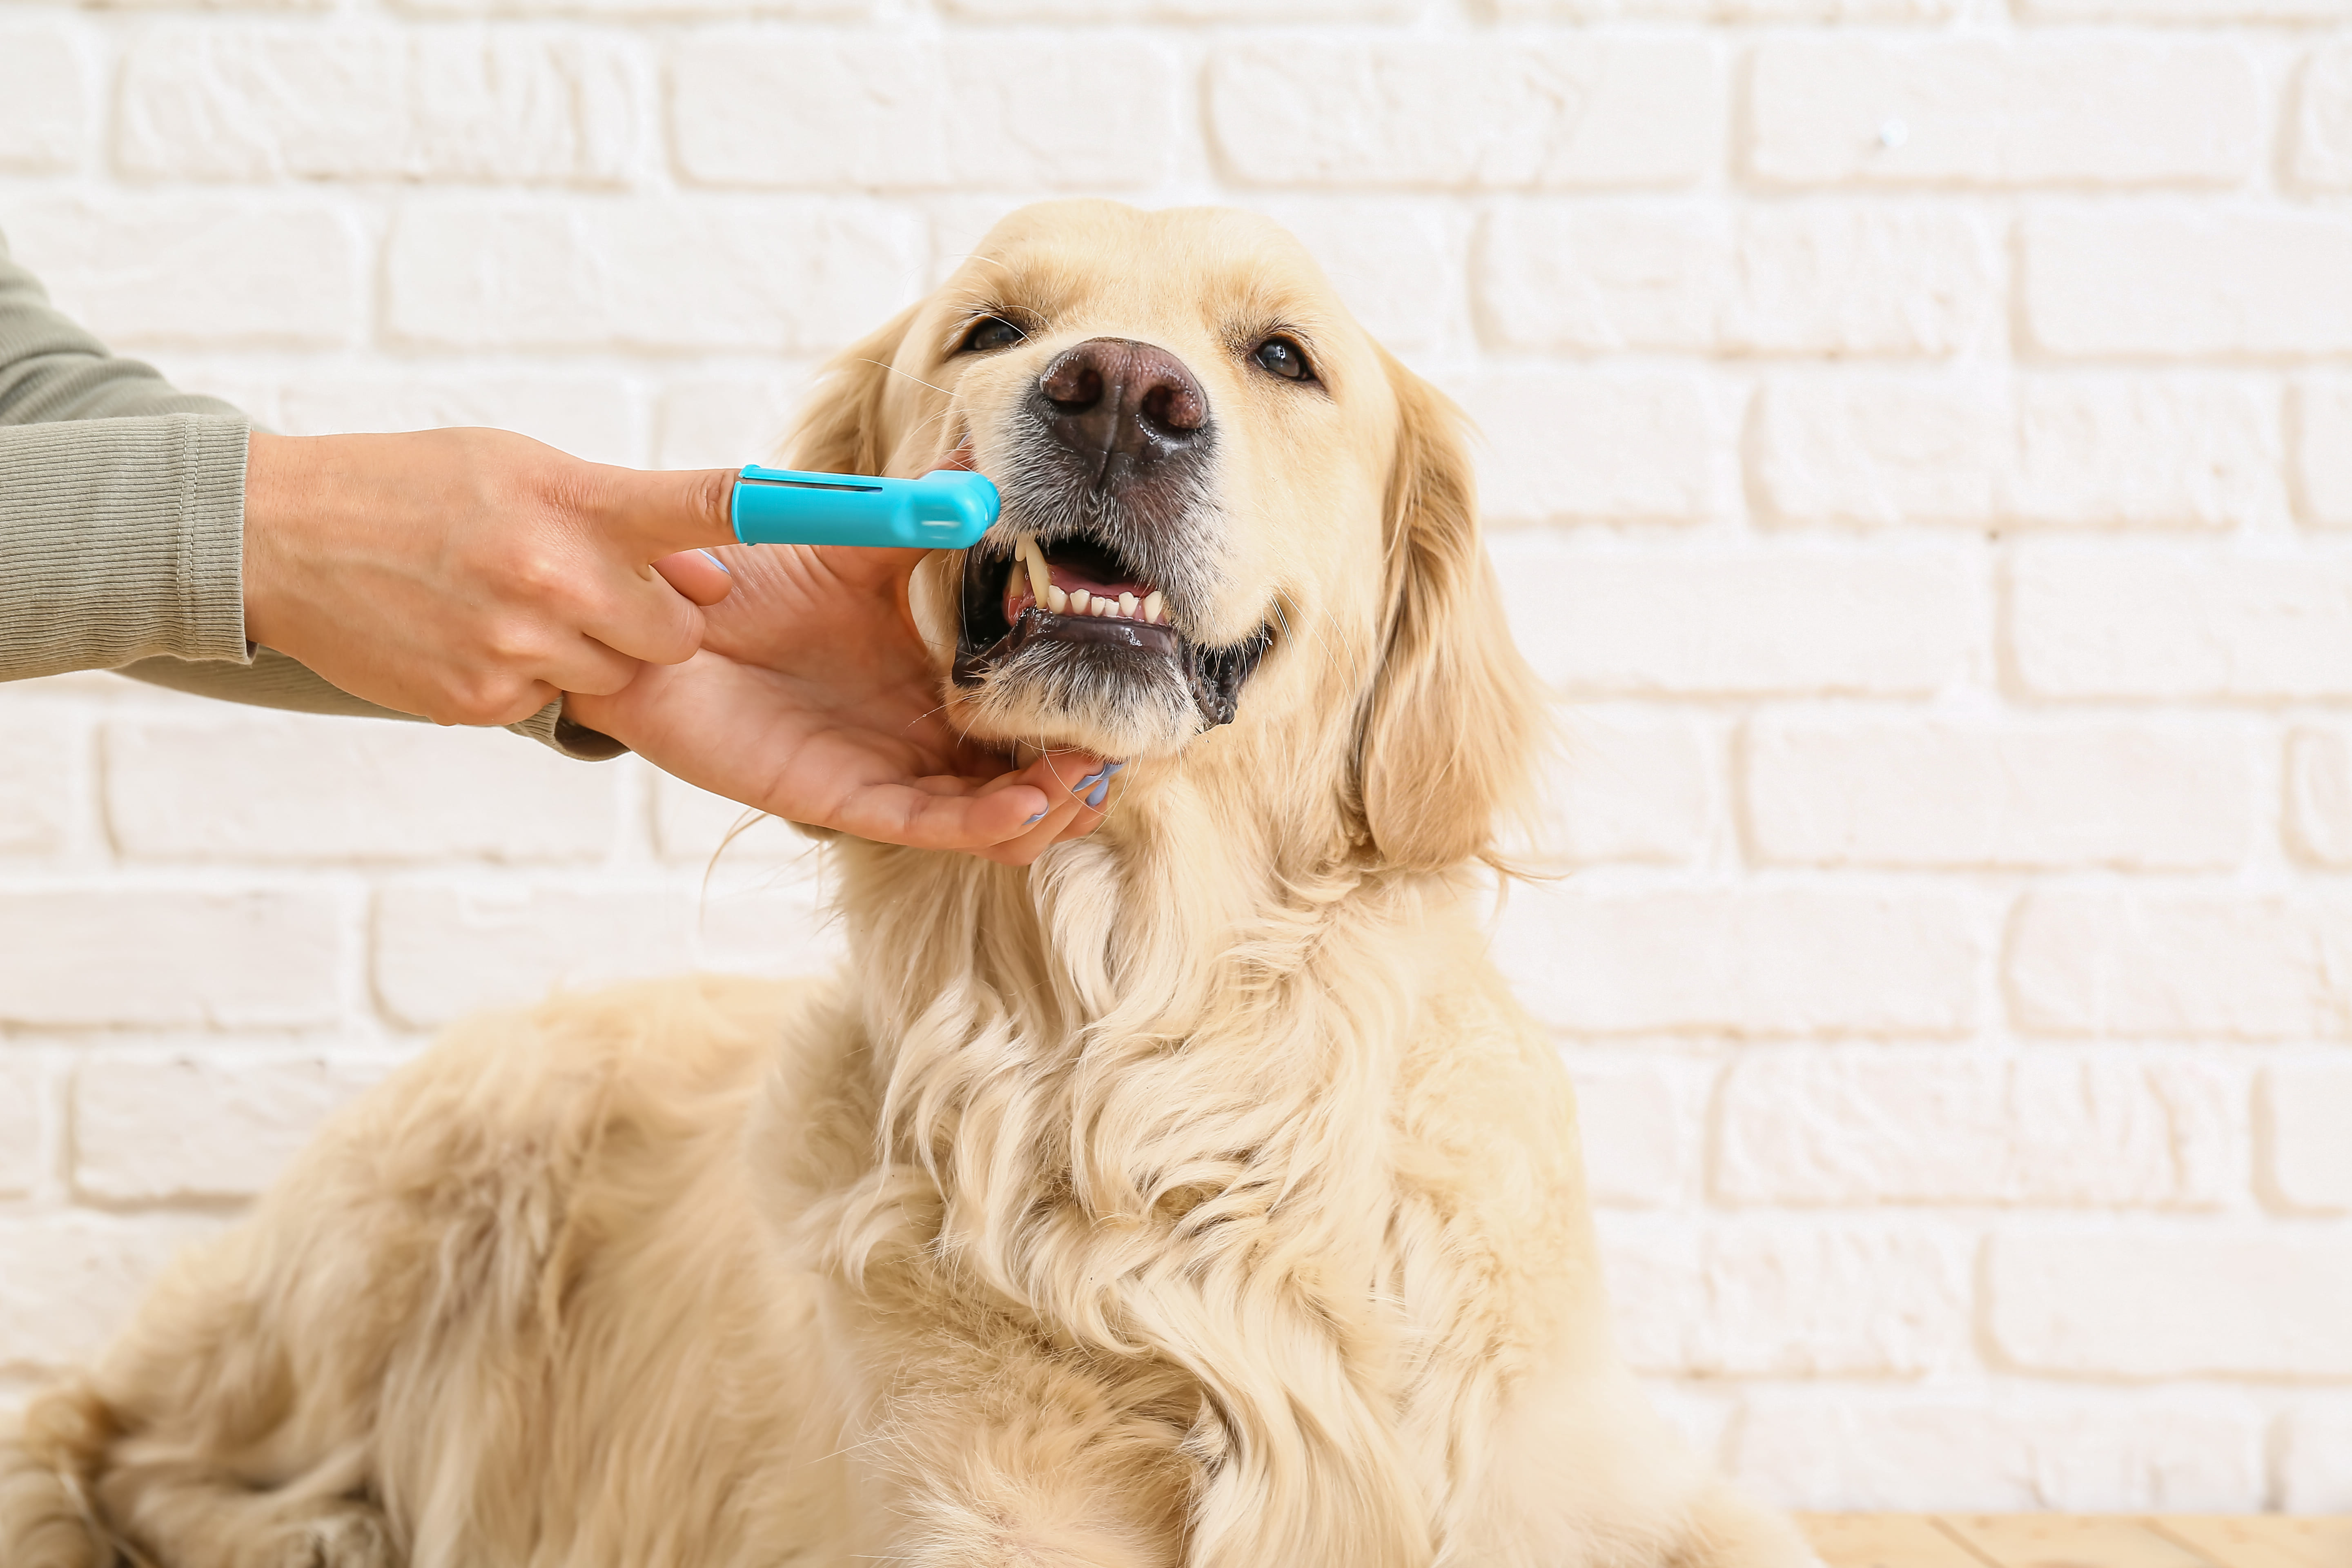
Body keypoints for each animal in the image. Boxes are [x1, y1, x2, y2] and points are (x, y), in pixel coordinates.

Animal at [0, 202, 1815, 1561]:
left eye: (1285, 358)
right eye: (994, 329)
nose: (1122, 393)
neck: (1160, 1045)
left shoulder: (1610, 1480)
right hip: (413, 1208)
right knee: (105, 1437)